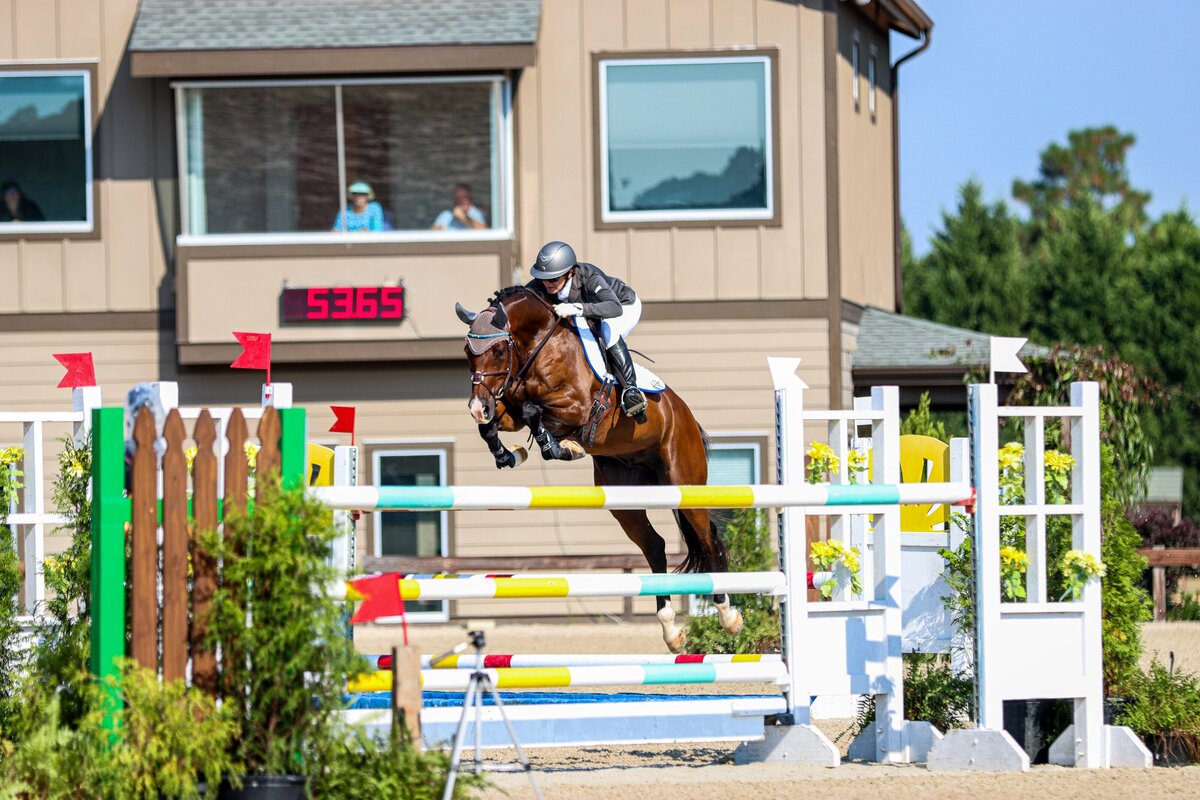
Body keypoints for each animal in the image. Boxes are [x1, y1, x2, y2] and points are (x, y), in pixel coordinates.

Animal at [454, 286, 744, 653]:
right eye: (468, 352)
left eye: (498, 350)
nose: (477, 407)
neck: (539, 345)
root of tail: (687, 416)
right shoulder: (509, 408)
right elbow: (497, 424)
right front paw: (510, 454)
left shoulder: (577, 406)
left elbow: (536, 411)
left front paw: (559, 447)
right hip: (623, 498)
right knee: (655, 546)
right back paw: (670, 631)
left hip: (685, 482)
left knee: (707, 541)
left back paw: (729, 616)